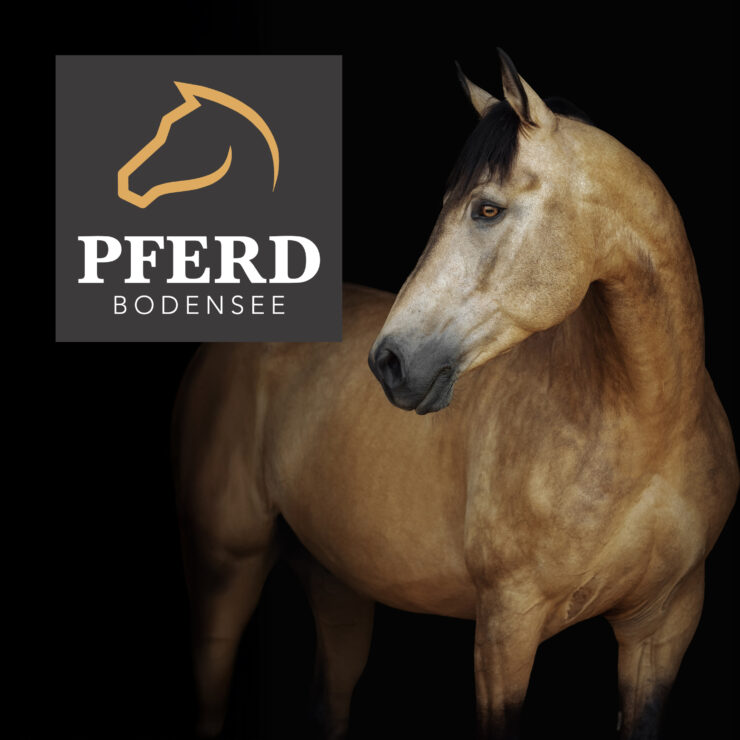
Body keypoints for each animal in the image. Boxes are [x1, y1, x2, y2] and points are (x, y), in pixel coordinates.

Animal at [172, 50, 738, 739]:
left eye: (486, 209)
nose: (389, 363)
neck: (647, 428)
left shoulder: (663, 626)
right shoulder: (505, 628)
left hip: (337, 581)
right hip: (225, 567)